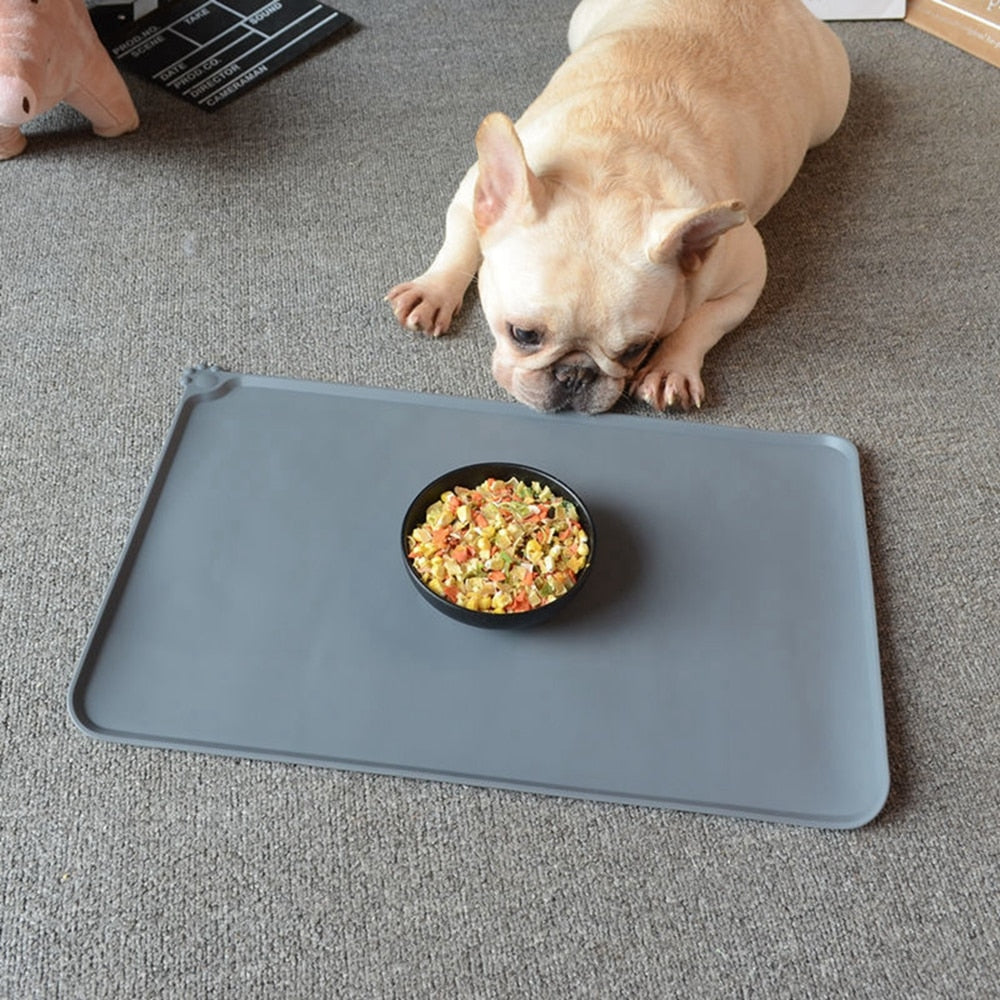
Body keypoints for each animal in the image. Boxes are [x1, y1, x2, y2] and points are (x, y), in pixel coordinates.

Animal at [386, 0, 848, 414]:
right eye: (523, 334)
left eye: (636, 349)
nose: (575, 375)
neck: (610, 169)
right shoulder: (474, 191)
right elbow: (460, 242)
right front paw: (433, 291)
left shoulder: (747, 273)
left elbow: (702, 322)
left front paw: (671, 366)